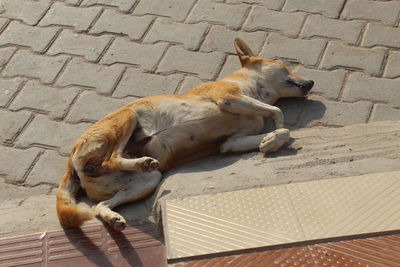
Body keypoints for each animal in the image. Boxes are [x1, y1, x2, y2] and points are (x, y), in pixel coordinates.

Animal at [56, 38, 314, 231]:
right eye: (284, 66)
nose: (311, 82)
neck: (255, 89)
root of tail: (71, 162)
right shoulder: (229, 98)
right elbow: (278, 111)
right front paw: (277, 127)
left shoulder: (231, 142)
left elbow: (274, 129)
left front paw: (271, 140)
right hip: (129, 116)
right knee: (112, 158)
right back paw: (141, 162)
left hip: (148, 181)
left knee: (99, 205)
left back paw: (113, 216)